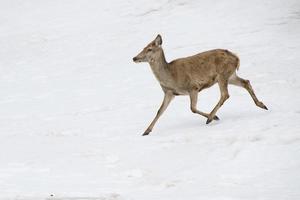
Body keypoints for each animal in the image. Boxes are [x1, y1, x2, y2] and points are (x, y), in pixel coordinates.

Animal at [133, 34, 268, 136]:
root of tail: (236, 57)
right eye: (143, 47)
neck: (171, 77)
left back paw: (210, 118)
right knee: (246, 82)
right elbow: (159, 111)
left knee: (225, 94)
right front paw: (146, 131)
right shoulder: (169, 92)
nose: (134, 58)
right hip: (230, 76)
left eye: (149, 49)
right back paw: (262, 105)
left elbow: (192, 108)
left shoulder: (193, 87)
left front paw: (215, 117)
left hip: (222, 75)